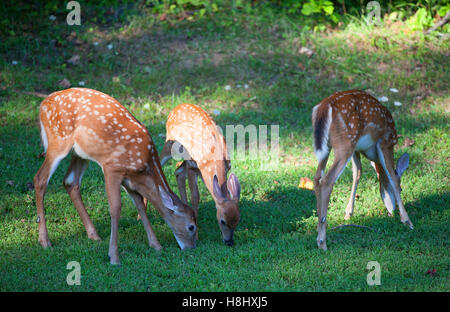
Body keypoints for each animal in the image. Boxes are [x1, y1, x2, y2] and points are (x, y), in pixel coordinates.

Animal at [34, 89, 196, 264]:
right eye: (191, 226)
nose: (191, 247)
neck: (145, 167)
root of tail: (43, 104)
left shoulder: (130, 179)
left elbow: (140, 204)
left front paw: (156, 245)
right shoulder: (112, 167)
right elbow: (116, 208)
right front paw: (114, 257)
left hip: (80, 153)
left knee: (70, 181)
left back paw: (94, 235)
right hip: (58, 140)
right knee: (40, 179)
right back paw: (45, 241)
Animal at [159, 103, 243, 245]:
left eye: (237, 220)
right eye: (223, 221)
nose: (229, 242)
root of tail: (177, 106)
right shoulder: (193, 166)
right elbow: (195, 197)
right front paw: (197, 233)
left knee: (178, 171)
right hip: (170, 146)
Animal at [312, 90, 412, 251]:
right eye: (403, 189)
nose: (392, 211)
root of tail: (324, 106)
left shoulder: (357, 150)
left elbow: (357, 173)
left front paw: (348, 212)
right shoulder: (385, 142)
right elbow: (393, 178)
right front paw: (407, 221)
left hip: (328, 146)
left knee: (317, 178)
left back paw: (318, 228)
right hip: (346, 141)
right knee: (327, 180)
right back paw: (322, 242)